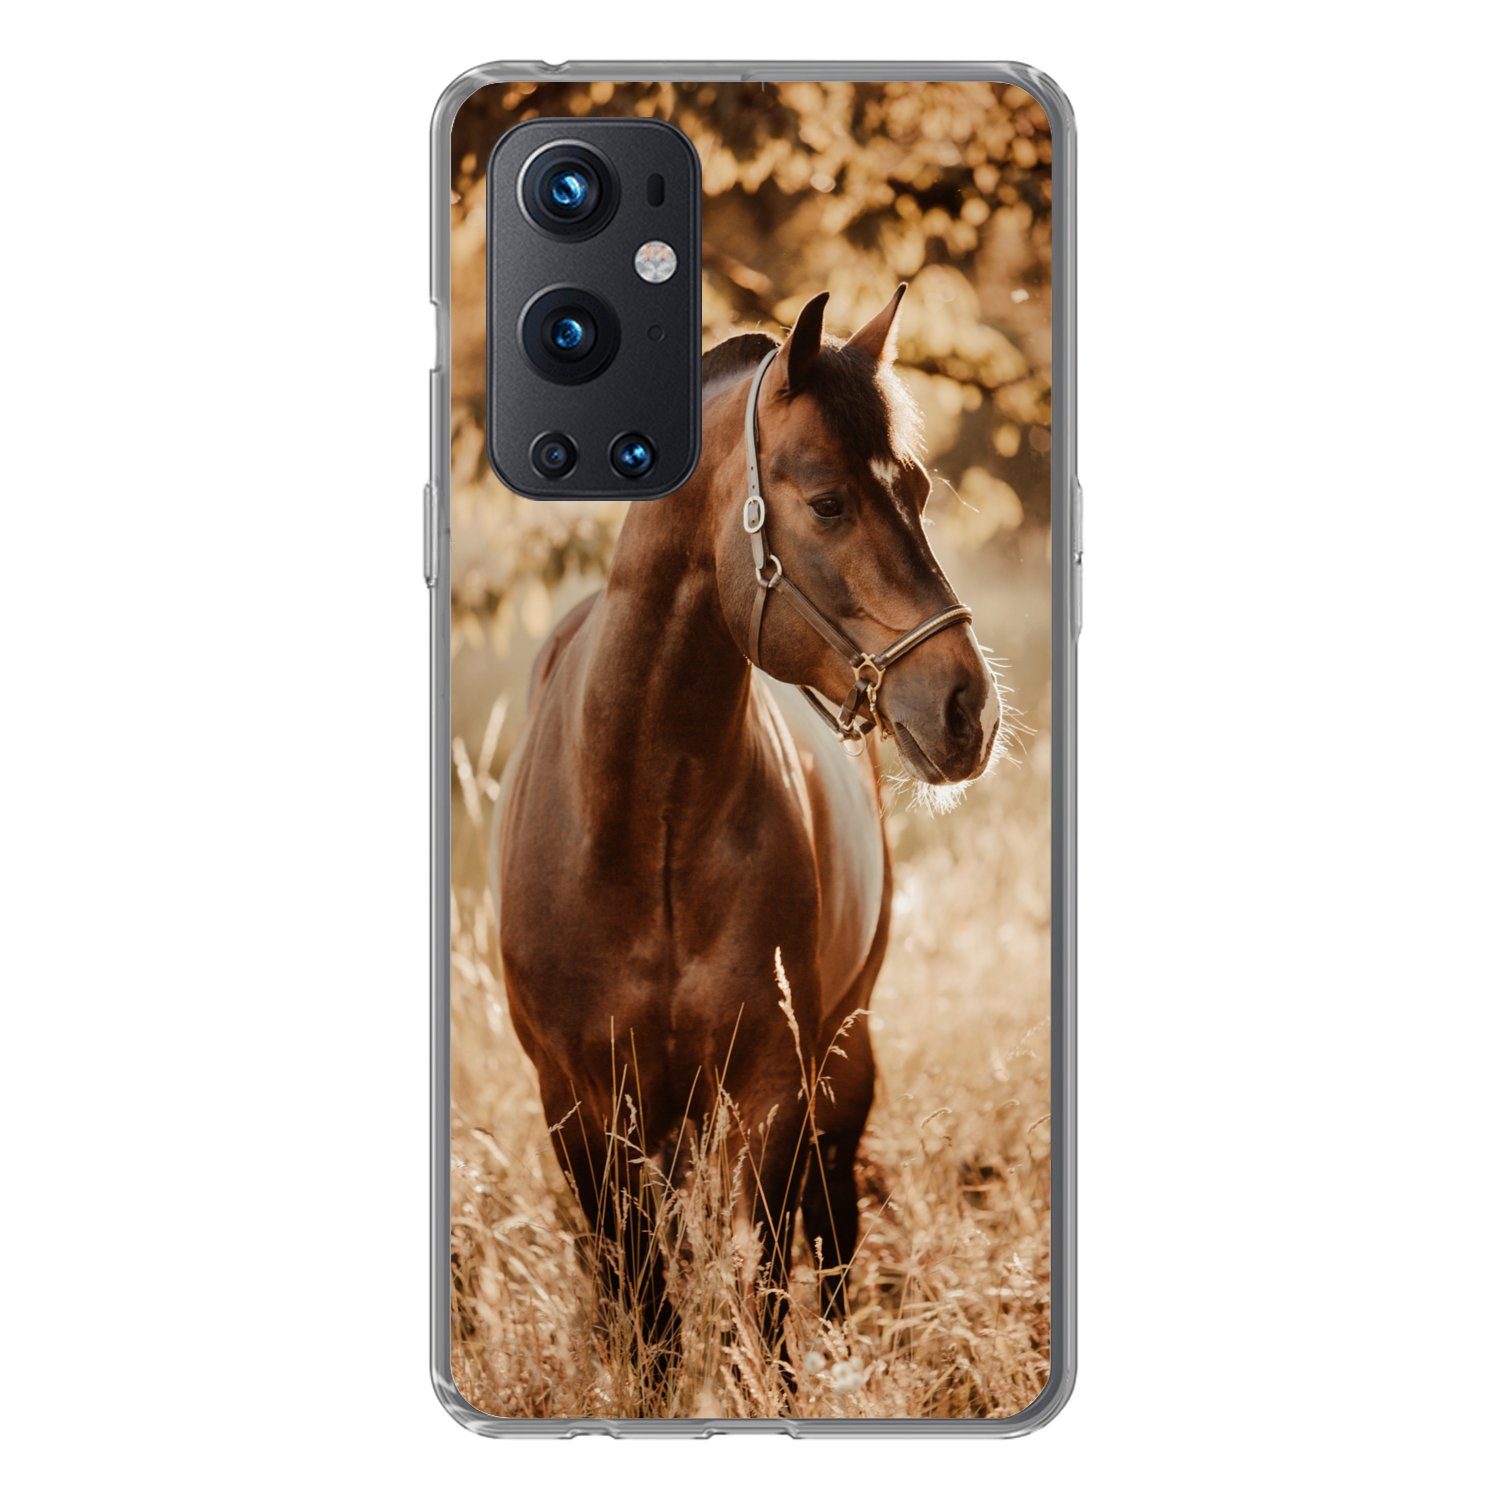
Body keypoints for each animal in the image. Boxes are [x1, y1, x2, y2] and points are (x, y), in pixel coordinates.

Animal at [490, 285, 1002, 1384]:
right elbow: (646, 1314)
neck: (645, 821)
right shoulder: (580, 1104)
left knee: (832, 1235)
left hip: (840, 1064)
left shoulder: (772, 1088)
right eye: (828, 503)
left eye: (919, 488)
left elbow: (767, 1299)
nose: (967, 710)